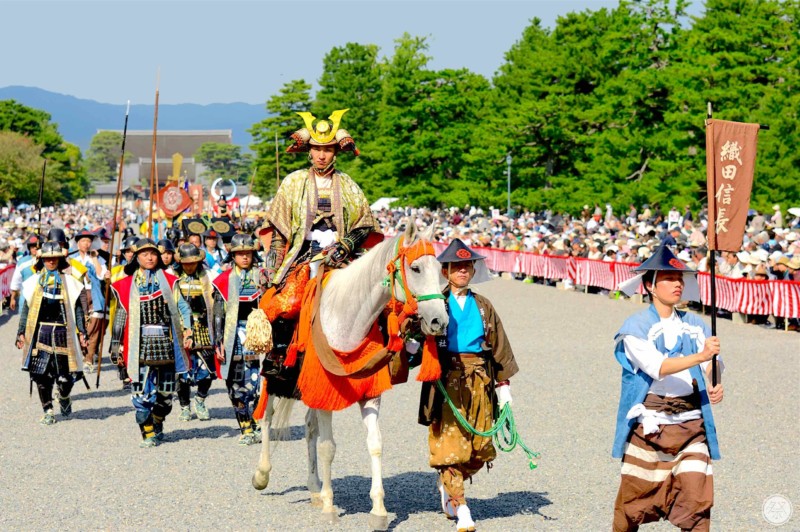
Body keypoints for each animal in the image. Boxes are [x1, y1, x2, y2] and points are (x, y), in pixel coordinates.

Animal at [253, 220, 446, 528]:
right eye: (415, 269)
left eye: (439, 268)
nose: (440, 320)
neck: (348, 318)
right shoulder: (324, 389)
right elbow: (328, 447)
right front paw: (330, 507)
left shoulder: (369, 393)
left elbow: (375, 444)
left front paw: (378, 510)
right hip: (271, 375)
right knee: (267, 417)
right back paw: (263, 473)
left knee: (309, 427)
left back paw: (314, 488)